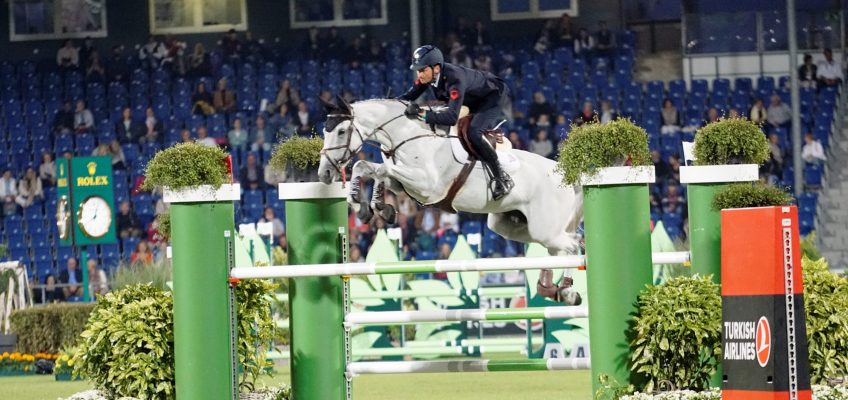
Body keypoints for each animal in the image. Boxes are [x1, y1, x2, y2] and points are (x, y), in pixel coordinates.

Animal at [316, 98, 584, 302]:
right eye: (325, 131)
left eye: (341, 131)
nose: (324, 174)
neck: (409, 135)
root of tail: (569, 176)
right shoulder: (403, 183)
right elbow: (367, 167)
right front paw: (370, 207)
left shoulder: (426, 185)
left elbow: (382, 170)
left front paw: (374, 207)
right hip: (510, 225)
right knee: (560, 246)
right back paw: (549, 287)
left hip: (544, 227)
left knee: (572, 246)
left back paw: (567, 290)